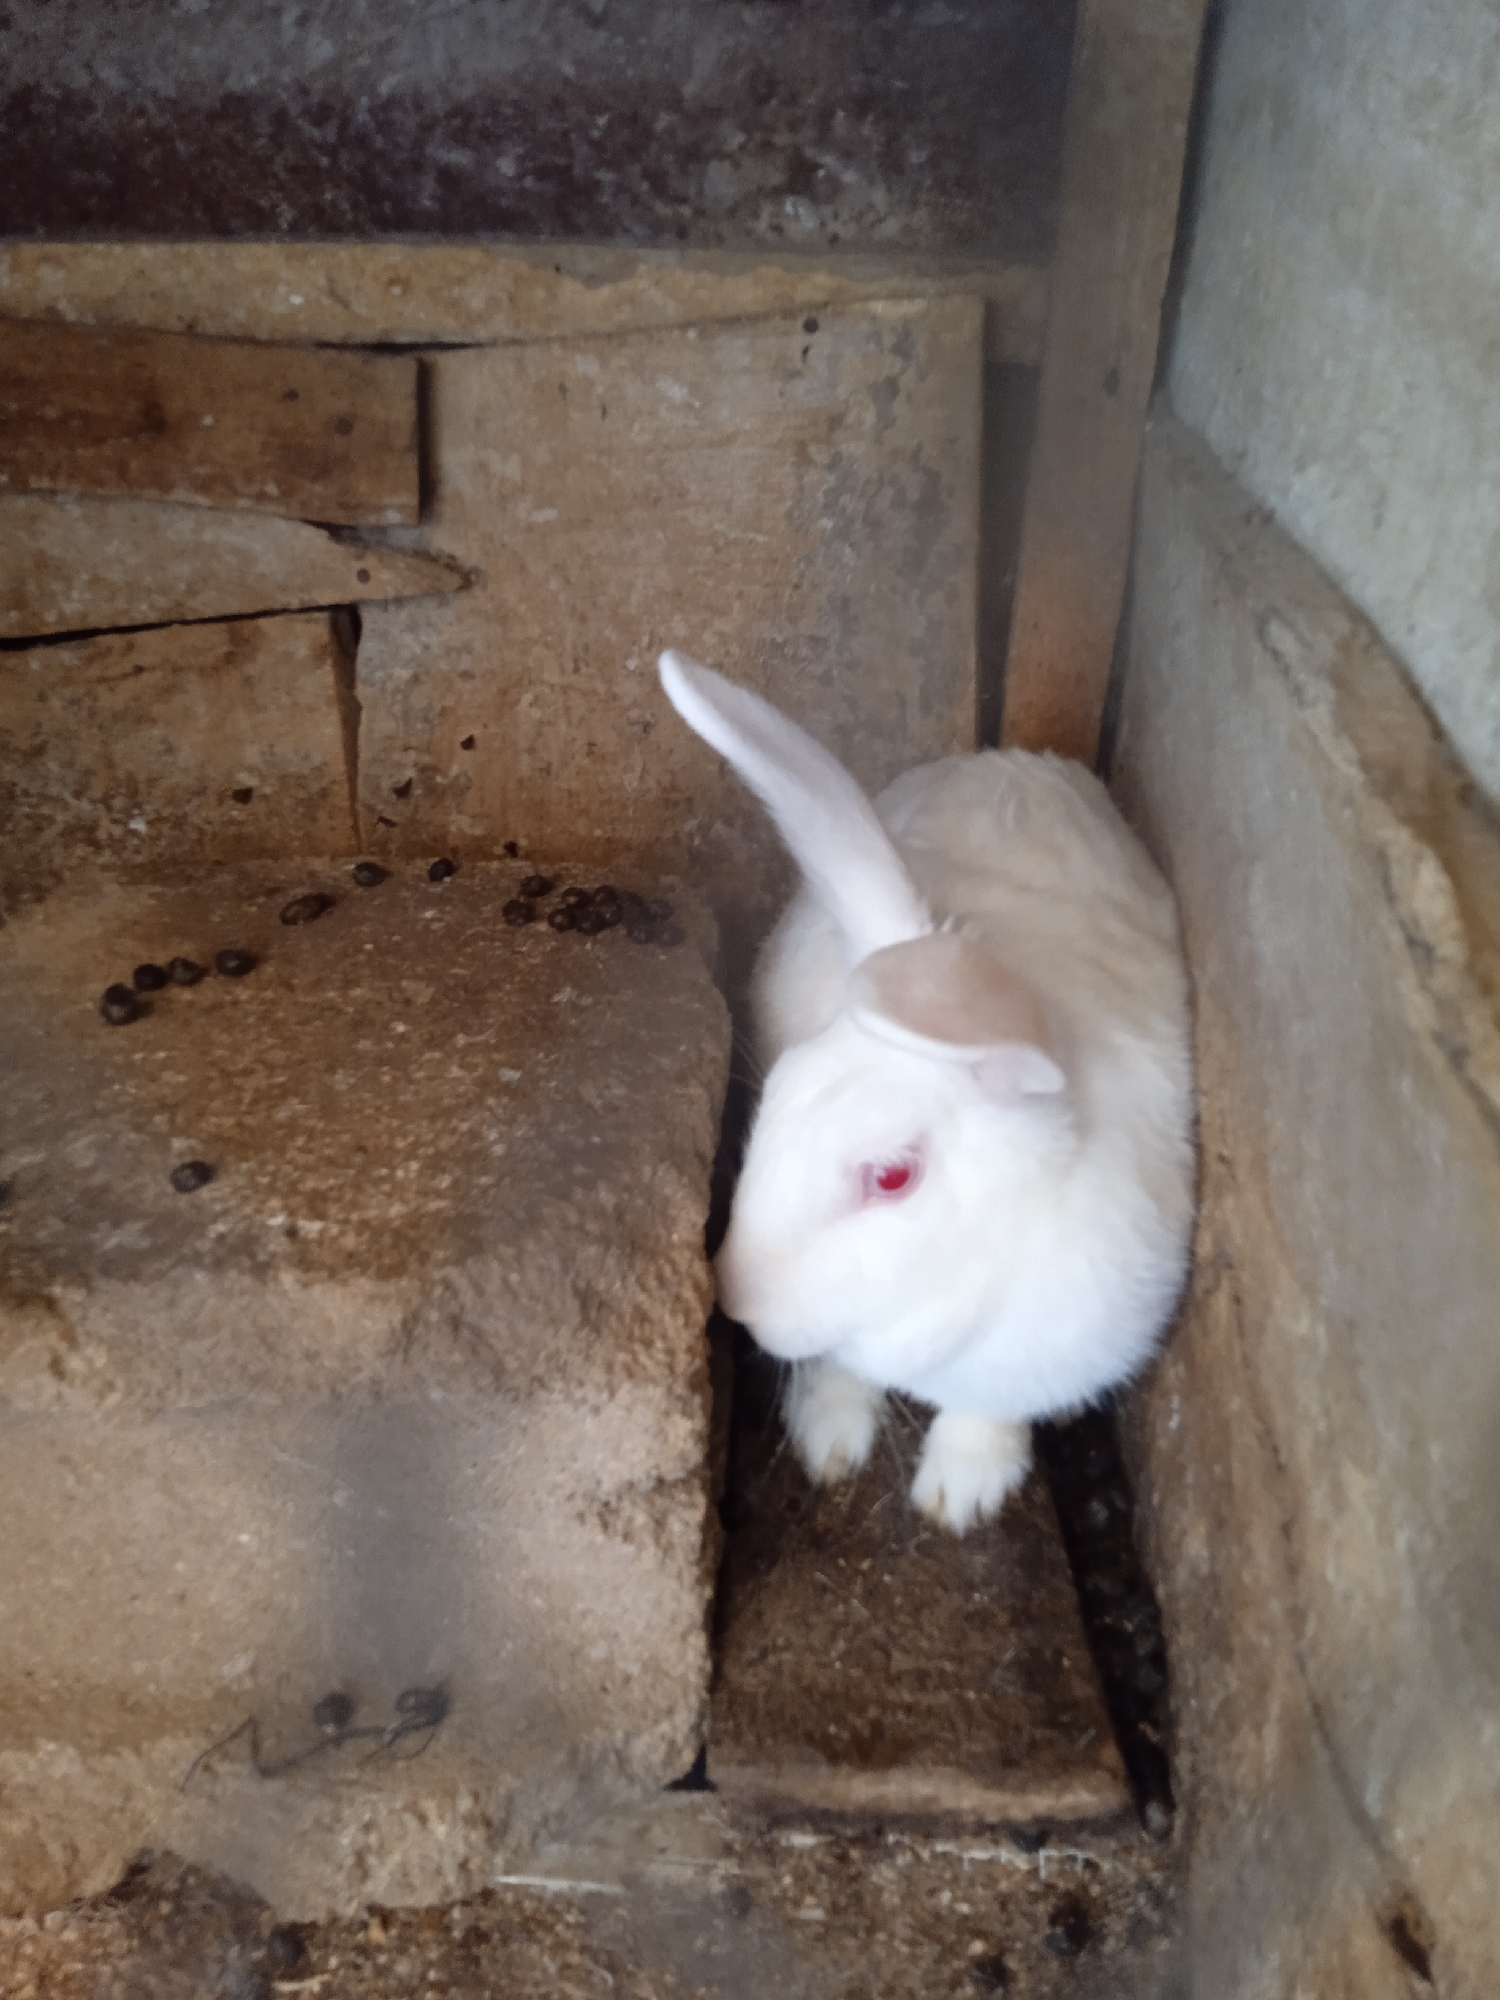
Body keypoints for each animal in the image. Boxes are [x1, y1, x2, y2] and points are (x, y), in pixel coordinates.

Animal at [658, 650, 1195, 1534]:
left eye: (891, 1176)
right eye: (775, 1098)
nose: (735, 1297)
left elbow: (987, 1411)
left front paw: (962, 1494)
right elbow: (840, 1372)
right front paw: (827, 1441)